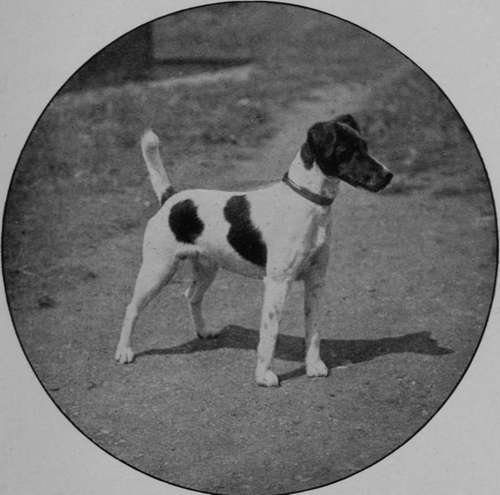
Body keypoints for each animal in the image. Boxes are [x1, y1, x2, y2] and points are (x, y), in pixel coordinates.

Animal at [115, 115, 392, 388]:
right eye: (347, 150)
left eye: (365, 146)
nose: (388, 175)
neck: (306, 201)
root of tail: (170, 198)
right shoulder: (278, 283)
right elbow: (269, 334)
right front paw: (264, 376)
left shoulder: (316, 280)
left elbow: (313, 329)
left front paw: (314, 366)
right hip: (157, 270)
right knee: (131, 308)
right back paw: (124, 351)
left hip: (207, 268)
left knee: (191, 296)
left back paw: (204, 331)